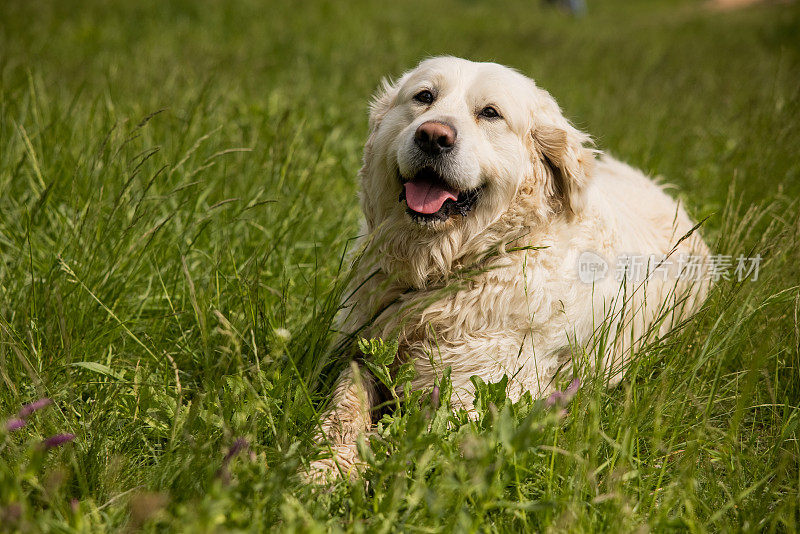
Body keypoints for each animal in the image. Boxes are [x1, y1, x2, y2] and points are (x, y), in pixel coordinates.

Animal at [310, 57, 708, 482]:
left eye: (490, 113)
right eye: (424, 97)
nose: (433, 136)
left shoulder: (475, 403)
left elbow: (405, 442)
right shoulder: (361, 351)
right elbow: (344, 404)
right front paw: (325, 467)